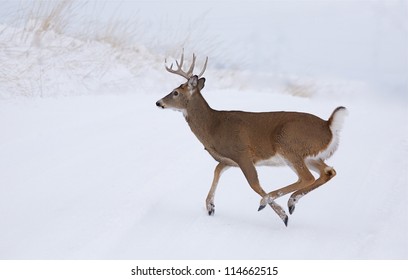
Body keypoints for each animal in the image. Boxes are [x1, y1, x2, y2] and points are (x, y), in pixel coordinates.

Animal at [156, 52, 348, 228]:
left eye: (175, 92)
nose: (158, 102)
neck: (213, 127)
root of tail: (328, 126)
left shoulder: (242, 153)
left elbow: (254, 184)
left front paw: (281, 214)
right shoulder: (229, 159)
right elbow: (217, 170)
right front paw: (210, 206)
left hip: (289, 145)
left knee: (307, 177)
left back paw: (278, 203)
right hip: (312, 156)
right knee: (328, 171)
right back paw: (292, 202)